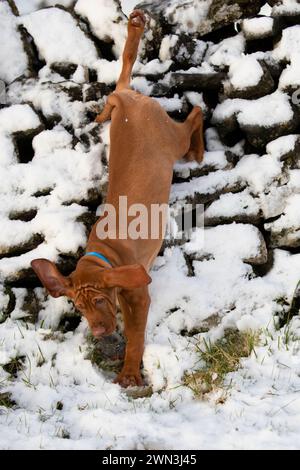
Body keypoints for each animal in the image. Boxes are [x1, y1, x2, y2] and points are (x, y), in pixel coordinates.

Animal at [31, 9, 204, 388]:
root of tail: (127, 99)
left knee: (196, 111)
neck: (104, 255)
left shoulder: (138, 294)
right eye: (79, 307)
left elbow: (136, 336)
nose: (98, 333)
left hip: (172, 141)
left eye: (99, 300)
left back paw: (198, 150)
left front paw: (129, 372)